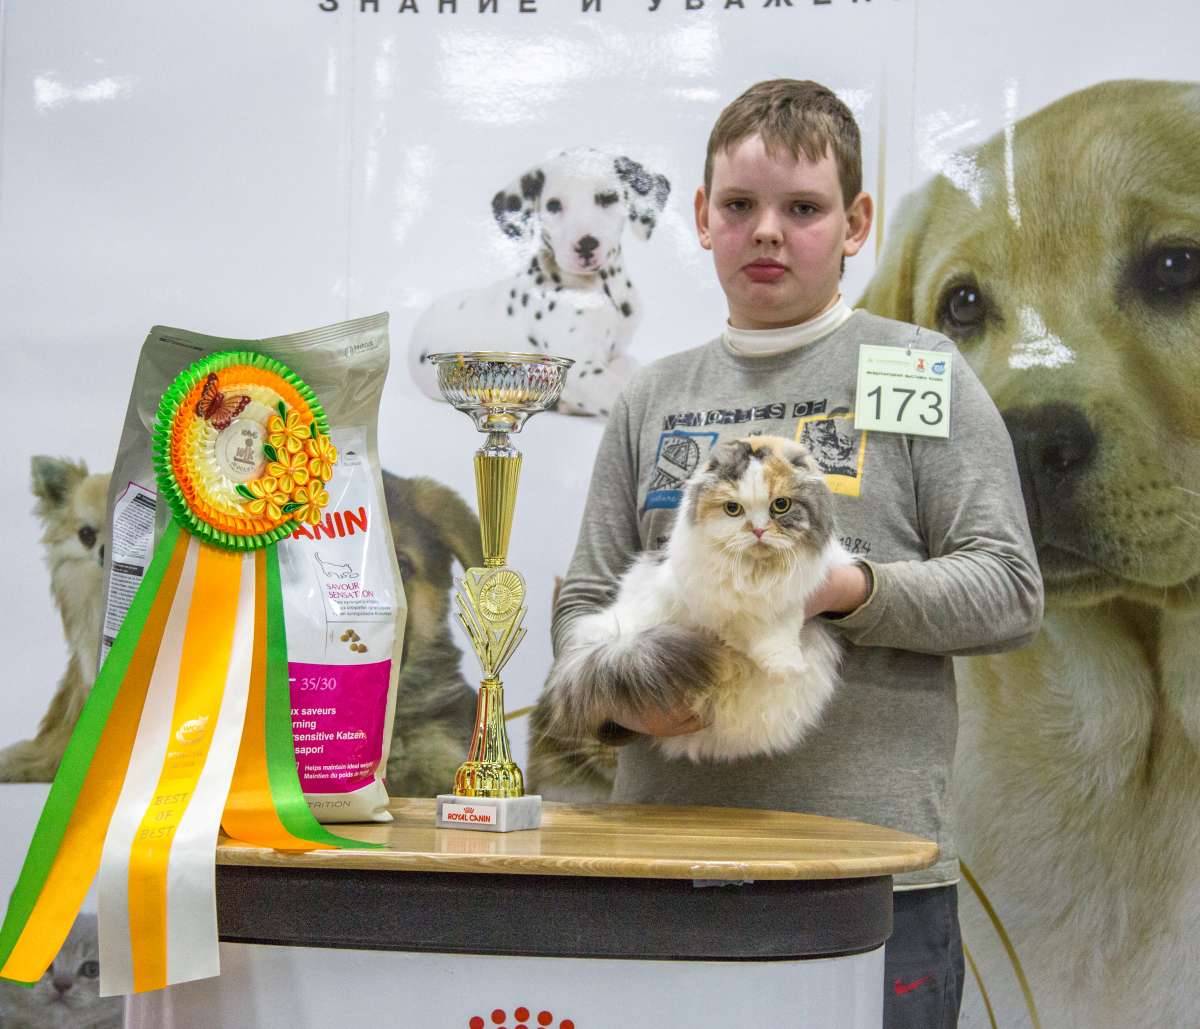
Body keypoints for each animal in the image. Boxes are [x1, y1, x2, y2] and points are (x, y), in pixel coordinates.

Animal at [409, 147, 670, 417]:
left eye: (608, 197)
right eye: (554, 205)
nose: (586, 244)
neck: (602, 291)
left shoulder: (617, 352)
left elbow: (631, 367)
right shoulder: (582, 371)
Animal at [543, 435, 850, 763]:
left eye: (780, 505)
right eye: (733, 509)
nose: (758, 531)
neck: (757, 573)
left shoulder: (797, 594)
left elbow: (783, 628)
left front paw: (787, 667)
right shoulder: (710, 607)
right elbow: (751, 631)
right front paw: (781, 667)